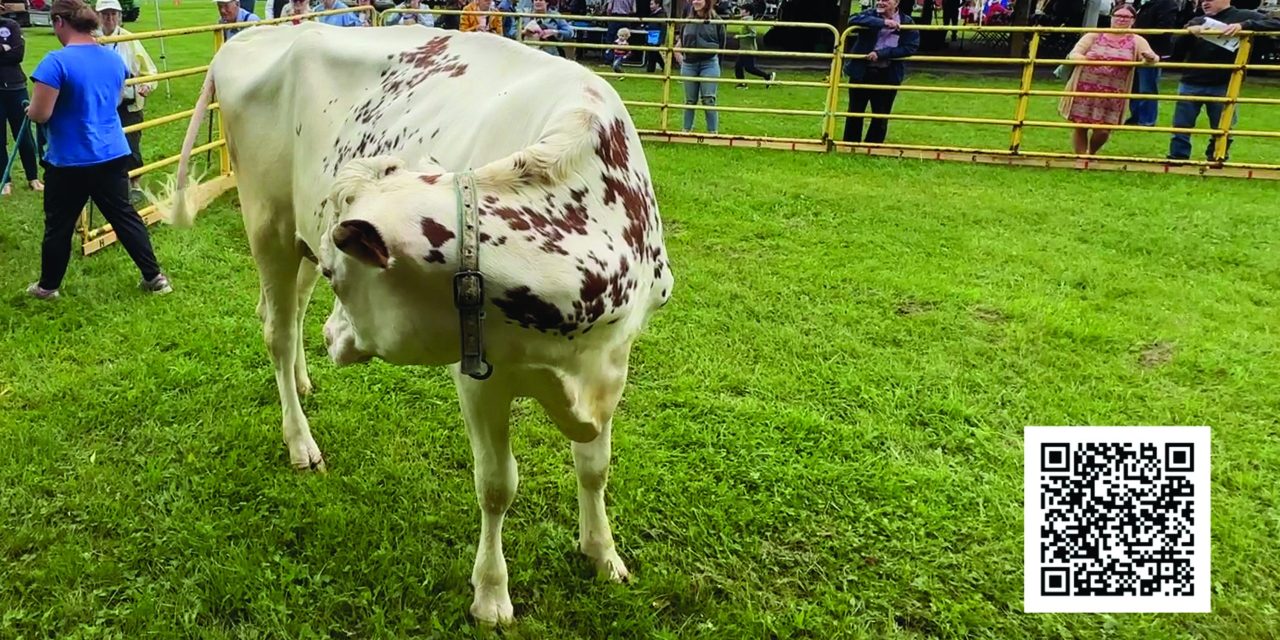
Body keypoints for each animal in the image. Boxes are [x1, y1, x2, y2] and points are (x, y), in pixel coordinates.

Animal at [154, 21, 673, 625]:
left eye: (337, 272)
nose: (333, 337)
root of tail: (256, 33)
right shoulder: (479, 375)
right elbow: (497, 485)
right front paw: (491, 593)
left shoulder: (614, 360)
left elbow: (595, 467)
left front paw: (603, 554)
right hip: (269, 224)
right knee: (277, 332)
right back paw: (300, 440)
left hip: (298, 232)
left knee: (290, 311)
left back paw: (305, 379)